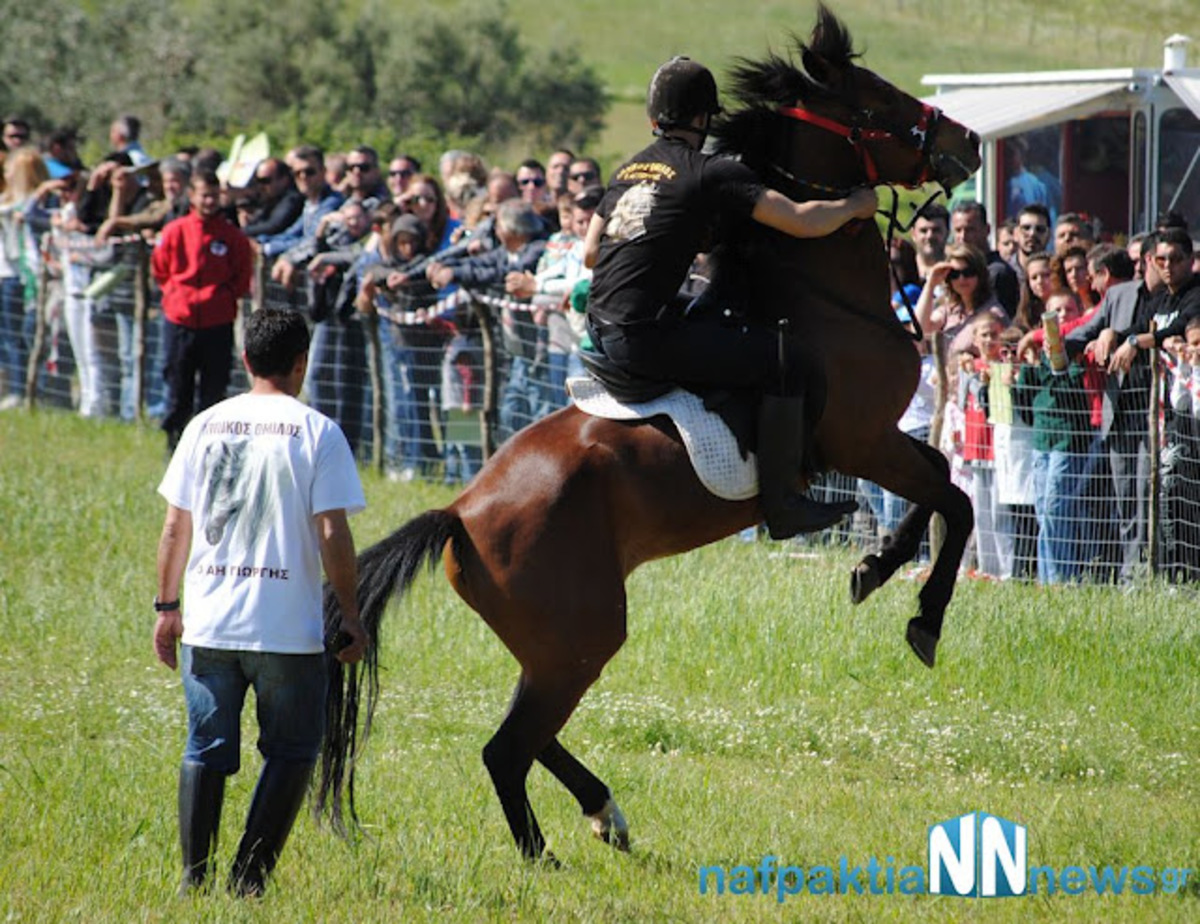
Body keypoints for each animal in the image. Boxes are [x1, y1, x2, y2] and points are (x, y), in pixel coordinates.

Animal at [316, 5, 974, 854]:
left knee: (530, 732)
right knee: (508, 747)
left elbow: (939, 484)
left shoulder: (878, 442)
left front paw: (875, 566)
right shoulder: (862, 440)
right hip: (584, 634)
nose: (969, 139)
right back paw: (545, 854)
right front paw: (922, 616)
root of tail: (460, 511)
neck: (821, 295)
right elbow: (954, 499)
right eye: (879, 98)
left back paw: (604, 810)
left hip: (556, 644)